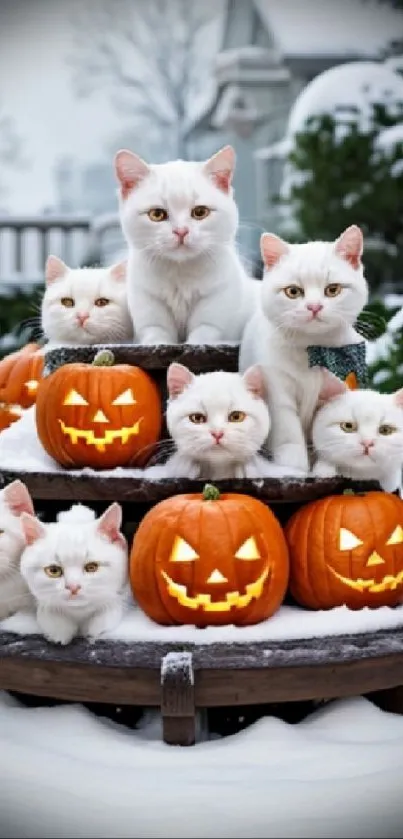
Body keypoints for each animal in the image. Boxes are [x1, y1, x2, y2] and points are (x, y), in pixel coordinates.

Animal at [114, 145, 258, 344]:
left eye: (200, 212)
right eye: (156, 214)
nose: (181, 231)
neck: (180, 274)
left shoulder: (215, 303)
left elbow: (203, 334)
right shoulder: (147, 303)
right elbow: (156, 335)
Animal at [240, 225, 370, 472]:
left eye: (333, 290)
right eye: (293, 291)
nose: (314, 306)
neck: (312, 351)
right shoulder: (277, 389)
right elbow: (289, 434)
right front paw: (293, 467)